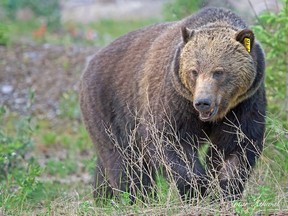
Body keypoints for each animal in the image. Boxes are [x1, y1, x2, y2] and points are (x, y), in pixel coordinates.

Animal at [80, 6, 266, 202]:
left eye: (218, 72)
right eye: (194, 71)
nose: (203, 102)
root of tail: (91, 62)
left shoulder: (244, 103)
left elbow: (237, 145)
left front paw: (224, 189)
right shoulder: (174, 99)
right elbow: (169, 140)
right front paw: (197, 188)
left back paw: (103, 197)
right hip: (110, 107)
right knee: (124, 159)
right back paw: (137, 197)